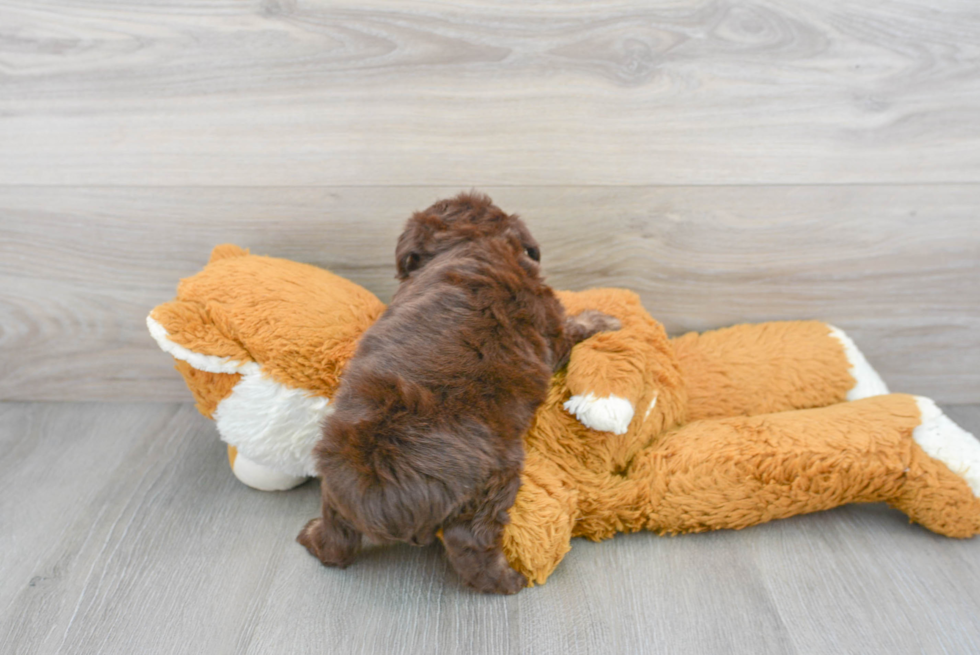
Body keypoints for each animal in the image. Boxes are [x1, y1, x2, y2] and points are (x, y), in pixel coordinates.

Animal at [298, 191, 620, 596]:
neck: (471, 244)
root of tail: (382, 488)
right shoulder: (552, 326)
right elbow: (573, 327)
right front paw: (602, 320)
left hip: (335, 486)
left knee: (338, 537)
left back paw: (313, 538)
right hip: (490, 487)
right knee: (472, 547)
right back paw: (509, 580)